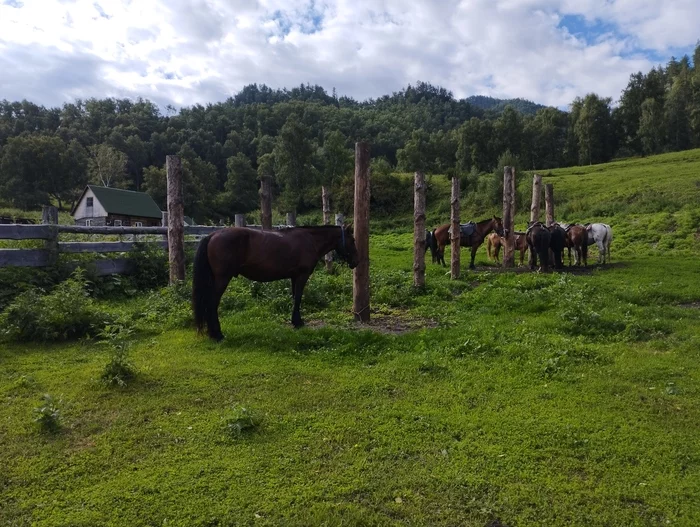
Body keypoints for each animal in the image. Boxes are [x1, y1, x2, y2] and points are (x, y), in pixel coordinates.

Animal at [191, 227, 358, 342]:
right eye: (353, 240)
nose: (356, 262)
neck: (310, 240)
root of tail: (213, 235)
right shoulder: (302, 276)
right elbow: (298, 298)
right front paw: (298, 322)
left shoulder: (294, 277)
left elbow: (294, 298)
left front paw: (295, 321)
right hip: (222, 279)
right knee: (212, 304)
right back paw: (217, 334)